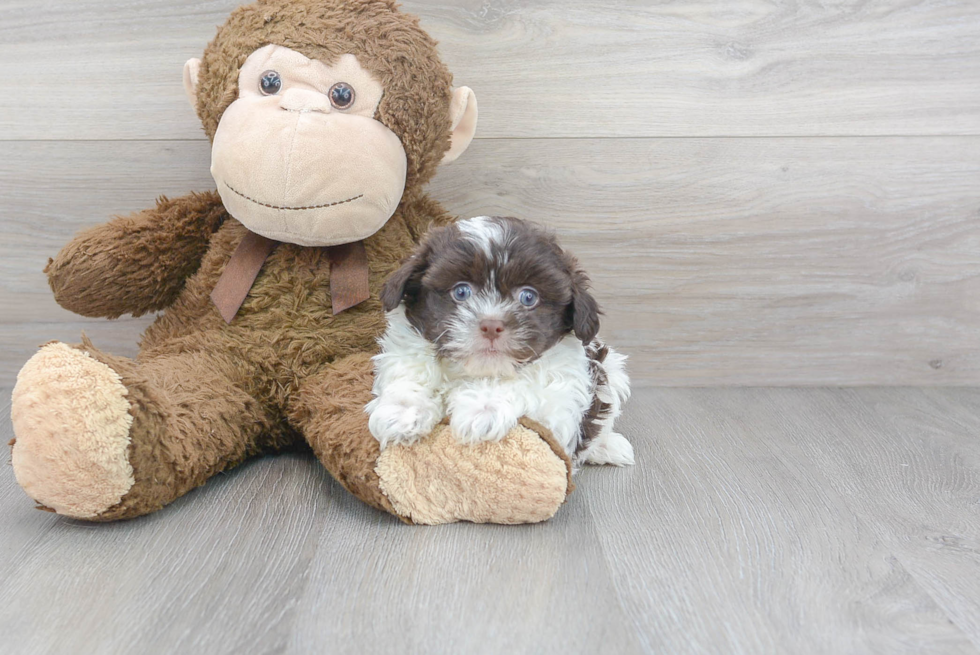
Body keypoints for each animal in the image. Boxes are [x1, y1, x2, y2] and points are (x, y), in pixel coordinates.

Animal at [364, 215, 632, 466]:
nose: (491, 326)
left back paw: (608, 446)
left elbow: (527, 387)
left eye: (528, 297)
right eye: (461, 292)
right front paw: (402, 411)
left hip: (612, 372)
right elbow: (408, 372)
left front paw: (483, 408)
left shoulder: (560, 402)